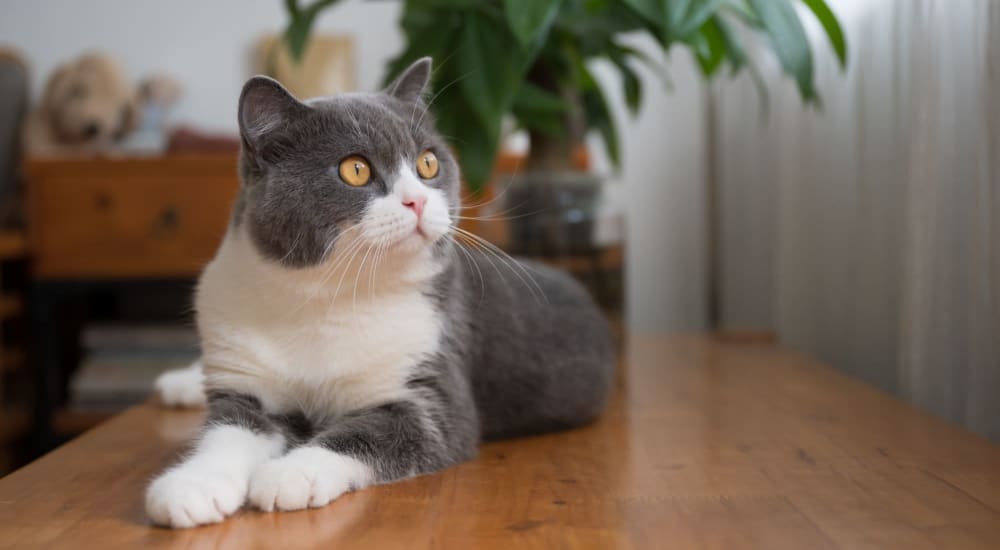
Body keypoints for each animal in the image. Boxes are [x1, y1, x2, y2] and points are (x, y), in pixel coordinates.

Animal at [145, 57, 612, 532]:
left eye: (428, 163)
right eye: (356, 169)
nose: (417, 202)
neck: (324, 298)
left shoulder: (433, 390)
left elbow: (368, 433)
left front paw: (289, 474)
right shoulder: (245, 381)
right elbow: (229, 432)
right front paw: (191, 487)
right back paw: (182, 382)